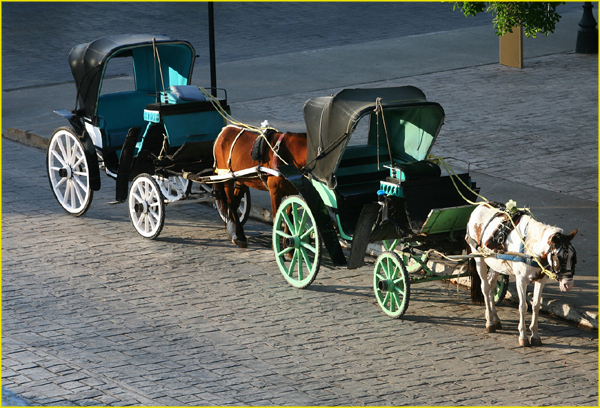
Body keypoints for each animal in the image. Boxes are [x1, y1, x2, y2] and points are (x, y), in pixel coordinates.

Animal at [466, 202, 576, 346]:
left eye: (573, 258)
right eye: (559, 257)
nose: (568, 284)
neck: (530, 248)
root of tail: (481, 205)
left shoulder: (541, 280)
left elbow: (536, 306)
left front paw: (535, 335)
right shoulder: (521, 280)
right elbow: (523, 307)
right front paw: (523, 336)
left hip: (496, 264)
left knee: (491, 286)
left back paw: (495, 318)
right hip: (479, 258)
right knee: (484, 287)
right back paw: (489, 322)